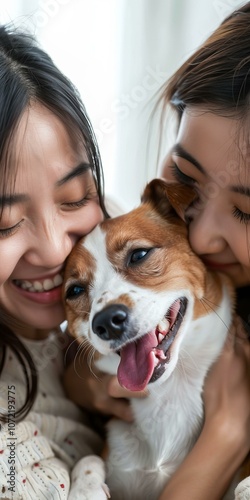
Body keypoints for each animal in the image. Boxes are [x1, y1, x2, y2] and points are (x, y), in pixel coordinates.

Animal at [63, 178, 246, 498]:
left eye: (139, 254)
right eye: (74, 290)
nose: (107, 322)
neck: (171, 392)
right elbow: (88, 458)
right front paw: (85, 489)